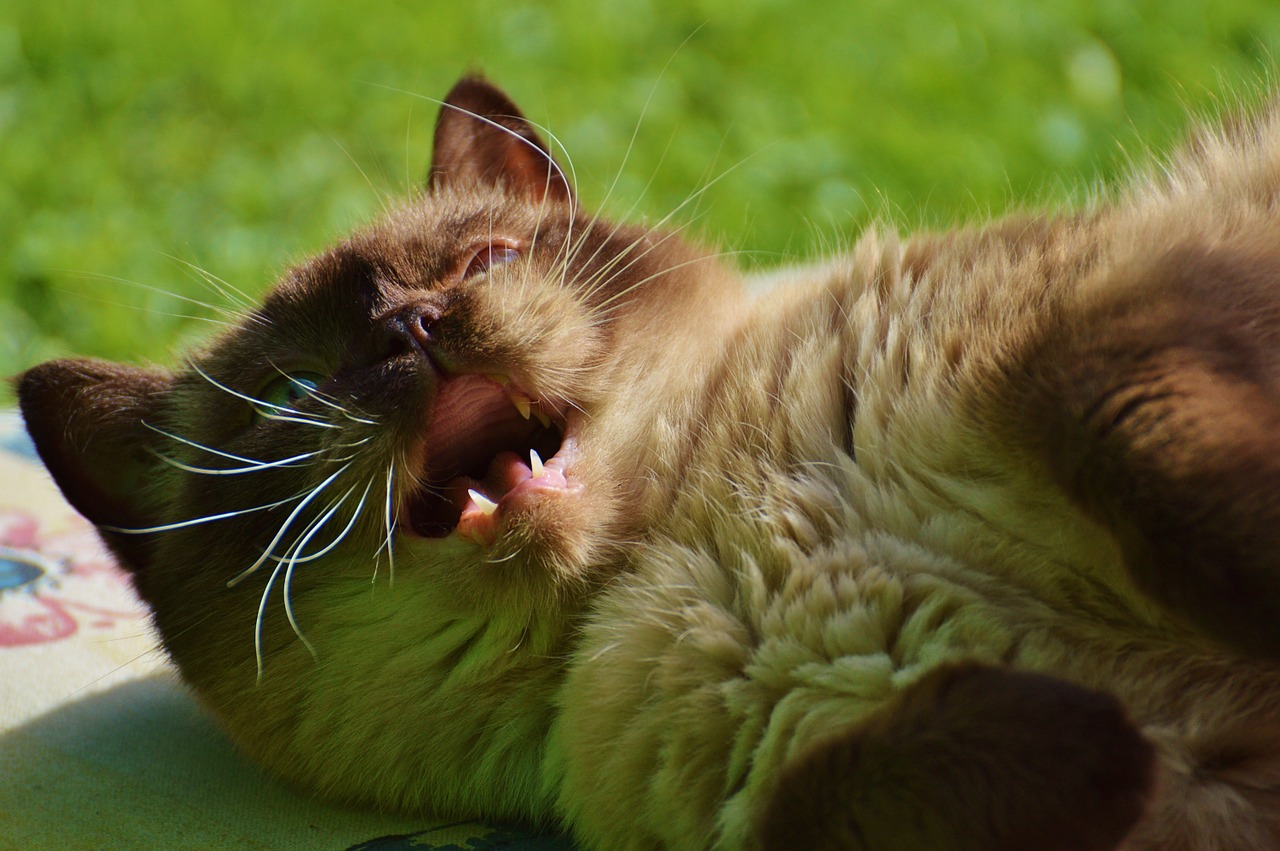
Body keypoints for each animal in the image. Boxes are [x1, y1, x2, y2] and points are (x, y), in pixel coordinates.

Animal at [15, 74, 1280, 849]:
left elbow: (1146, 459)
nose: (408, 331)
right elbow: (840, 799)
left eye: (484, 259)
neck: (677, 550)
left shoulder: (1087, 329)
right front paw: (1086, 738)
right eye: (292, 395)